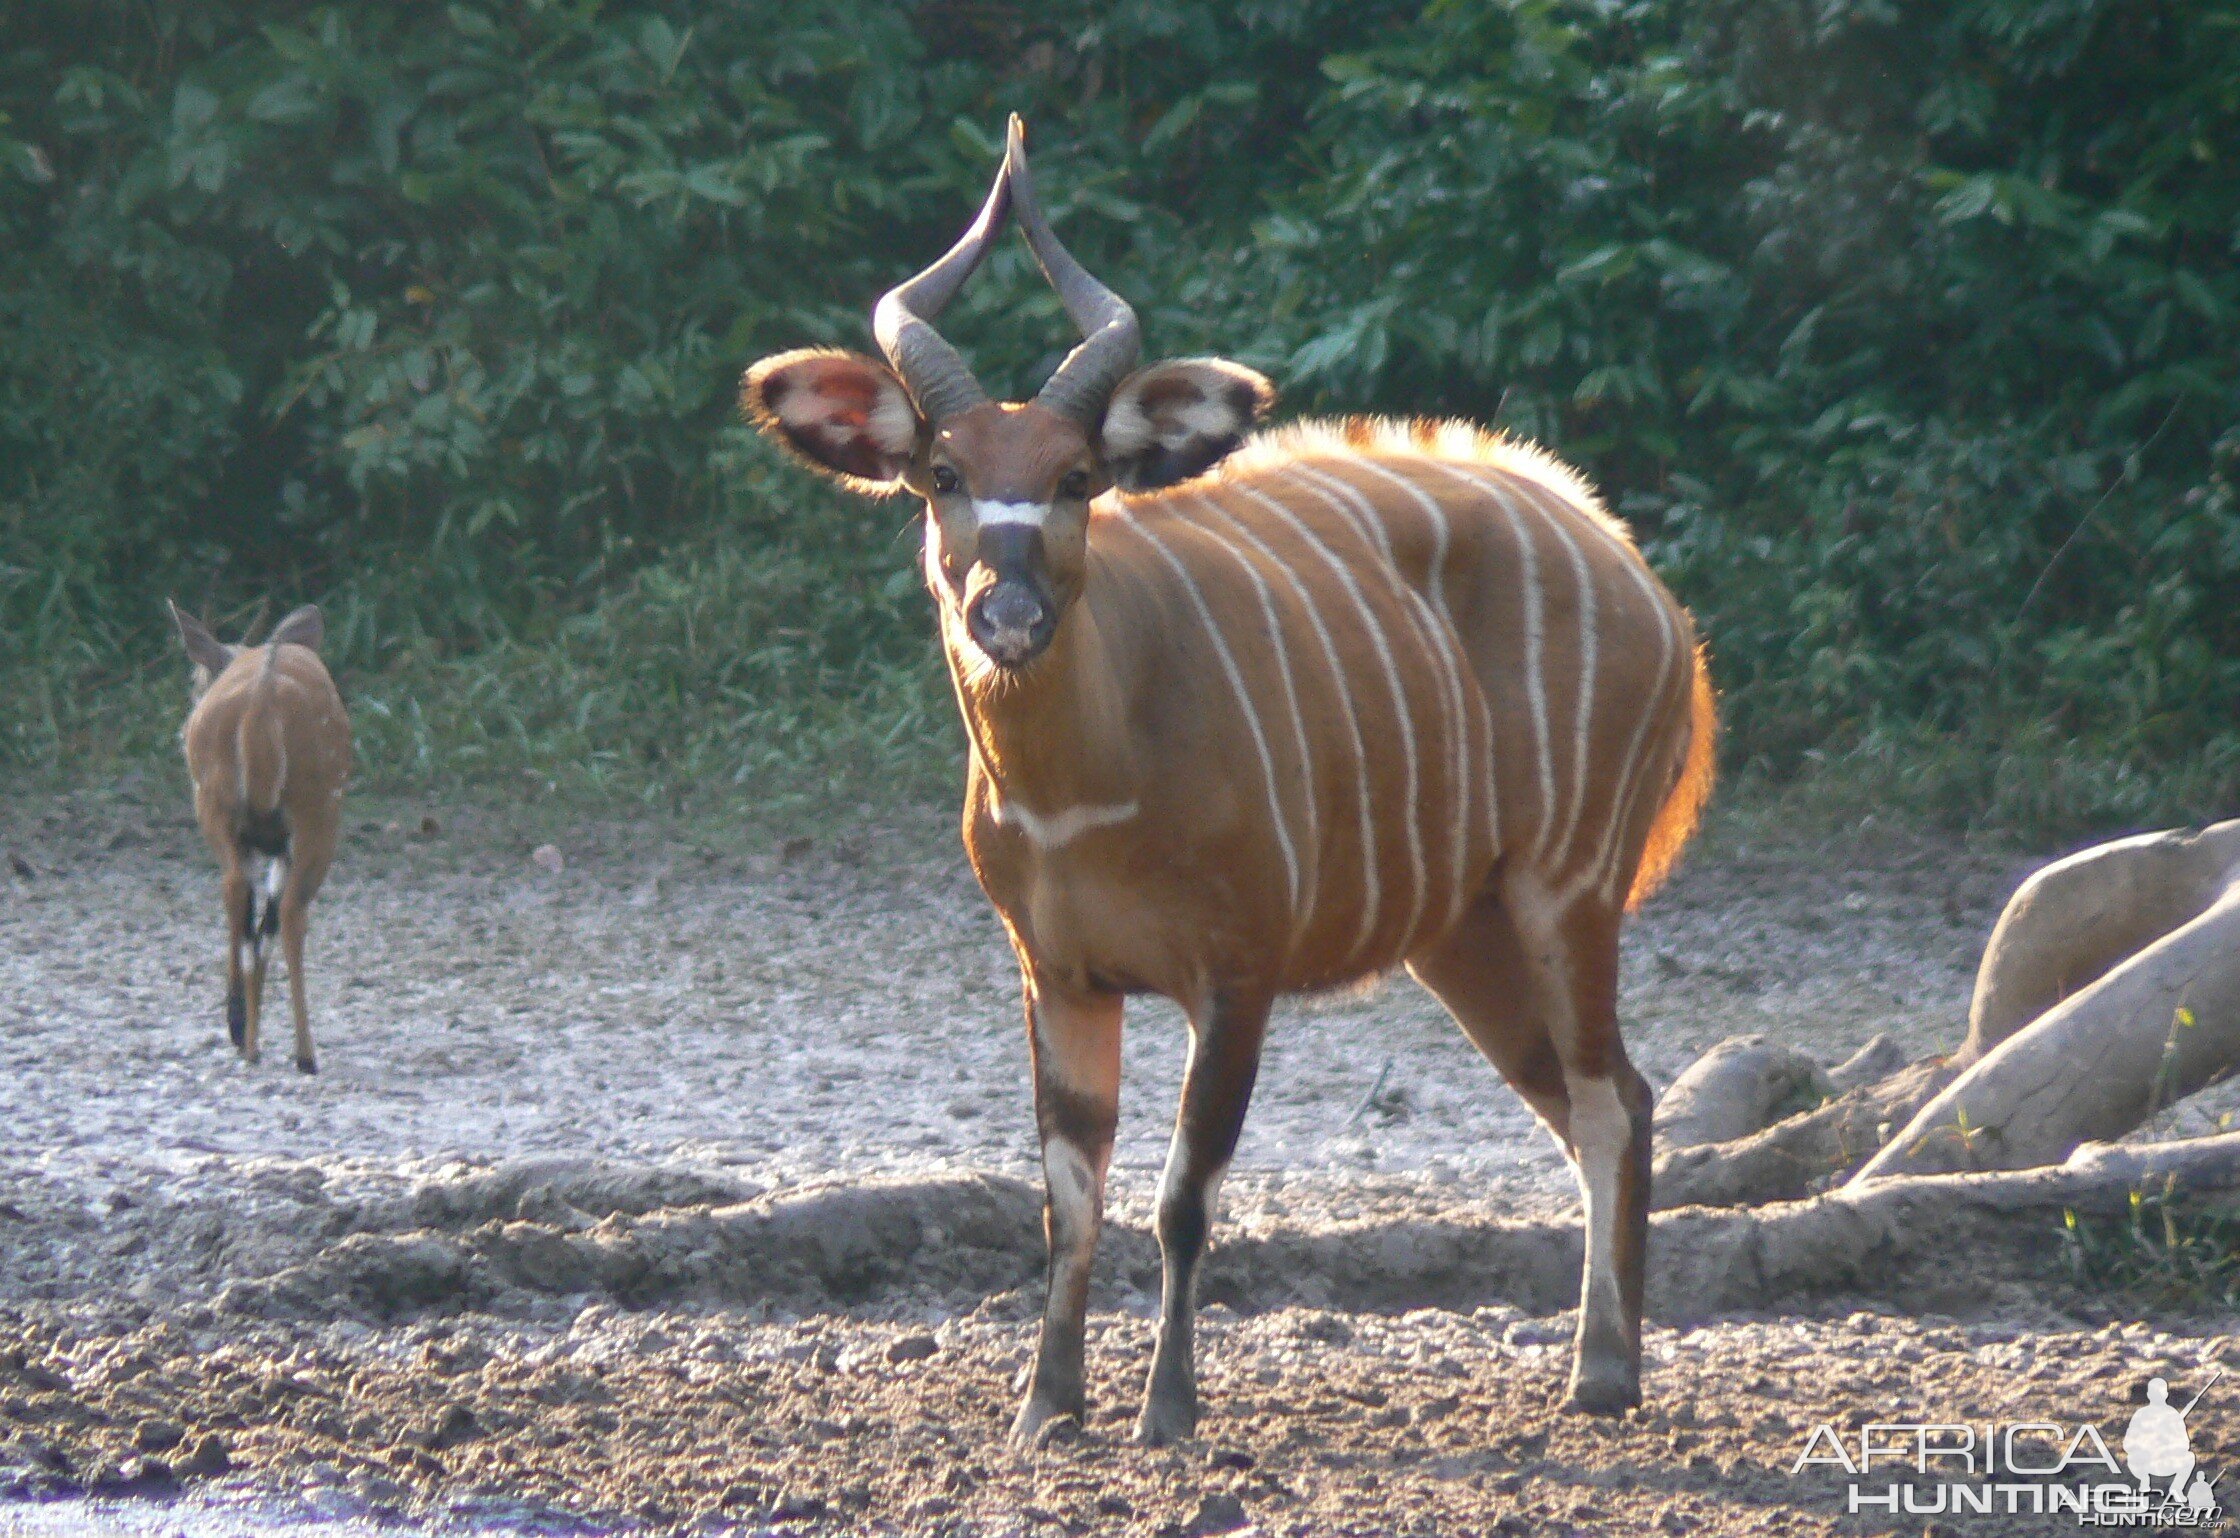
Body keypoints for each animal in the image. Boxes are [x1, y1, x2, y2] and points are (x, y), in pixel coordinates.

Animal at [168, 595, 349, 1079]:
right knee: (286, 913)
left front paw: (240, 1024)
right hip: (315, 811)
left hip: (225, 807)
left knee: (240, 894)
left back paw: (254, 1043)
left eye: (194, 680)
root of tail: (262, 711)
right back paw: (300, 1052)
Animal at [739, 117, 1711, 1441]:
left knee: (1607, 1095)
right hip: (1464, 932)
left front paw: (1166, 1410)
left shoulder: (1235, 978)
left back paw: (1602, 1375)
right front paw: (1044, 1409)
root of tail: (1635, 573)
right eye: (940, 473)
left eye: (1077, 476)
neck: (1083, 791)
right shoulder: (1059, 976)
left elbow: (1180, 1195)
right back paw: (1612, 1363)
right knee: (1597, 1095)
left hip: (1567, 892)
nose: (1007, 614)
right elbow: (1069, 1195)